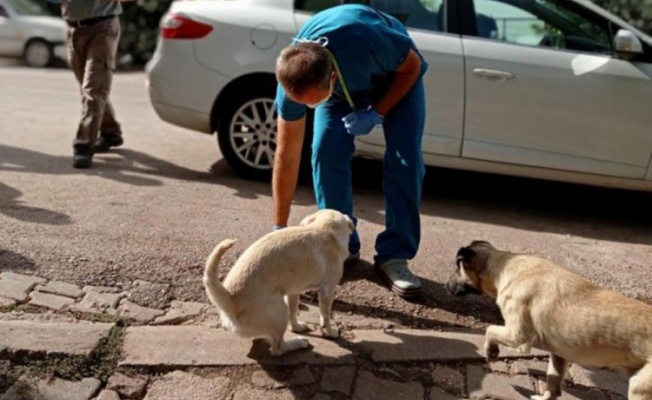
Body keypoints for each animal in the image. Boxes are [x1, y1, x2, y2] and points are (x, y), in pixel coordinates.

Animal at [204, 209, 356, 356]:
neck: (324, 229)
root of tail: (230, 300)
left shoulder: (294, 291)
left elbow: (293, 311)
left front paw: (296, 327)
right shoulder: (327, 291)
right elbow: (325, 316)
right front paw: (329, 332)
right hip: (279, 312)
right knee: (277, 349)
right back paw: (297, 343)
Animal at [448, 241, 652, 400]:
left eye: (456, 269)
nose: (447, 285)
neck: (503, 267)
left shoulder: (518, 337)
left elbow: (490, 329)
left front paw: (491, 351)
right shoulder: (559, 354)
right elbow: (553, 382)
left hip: (639, 387)